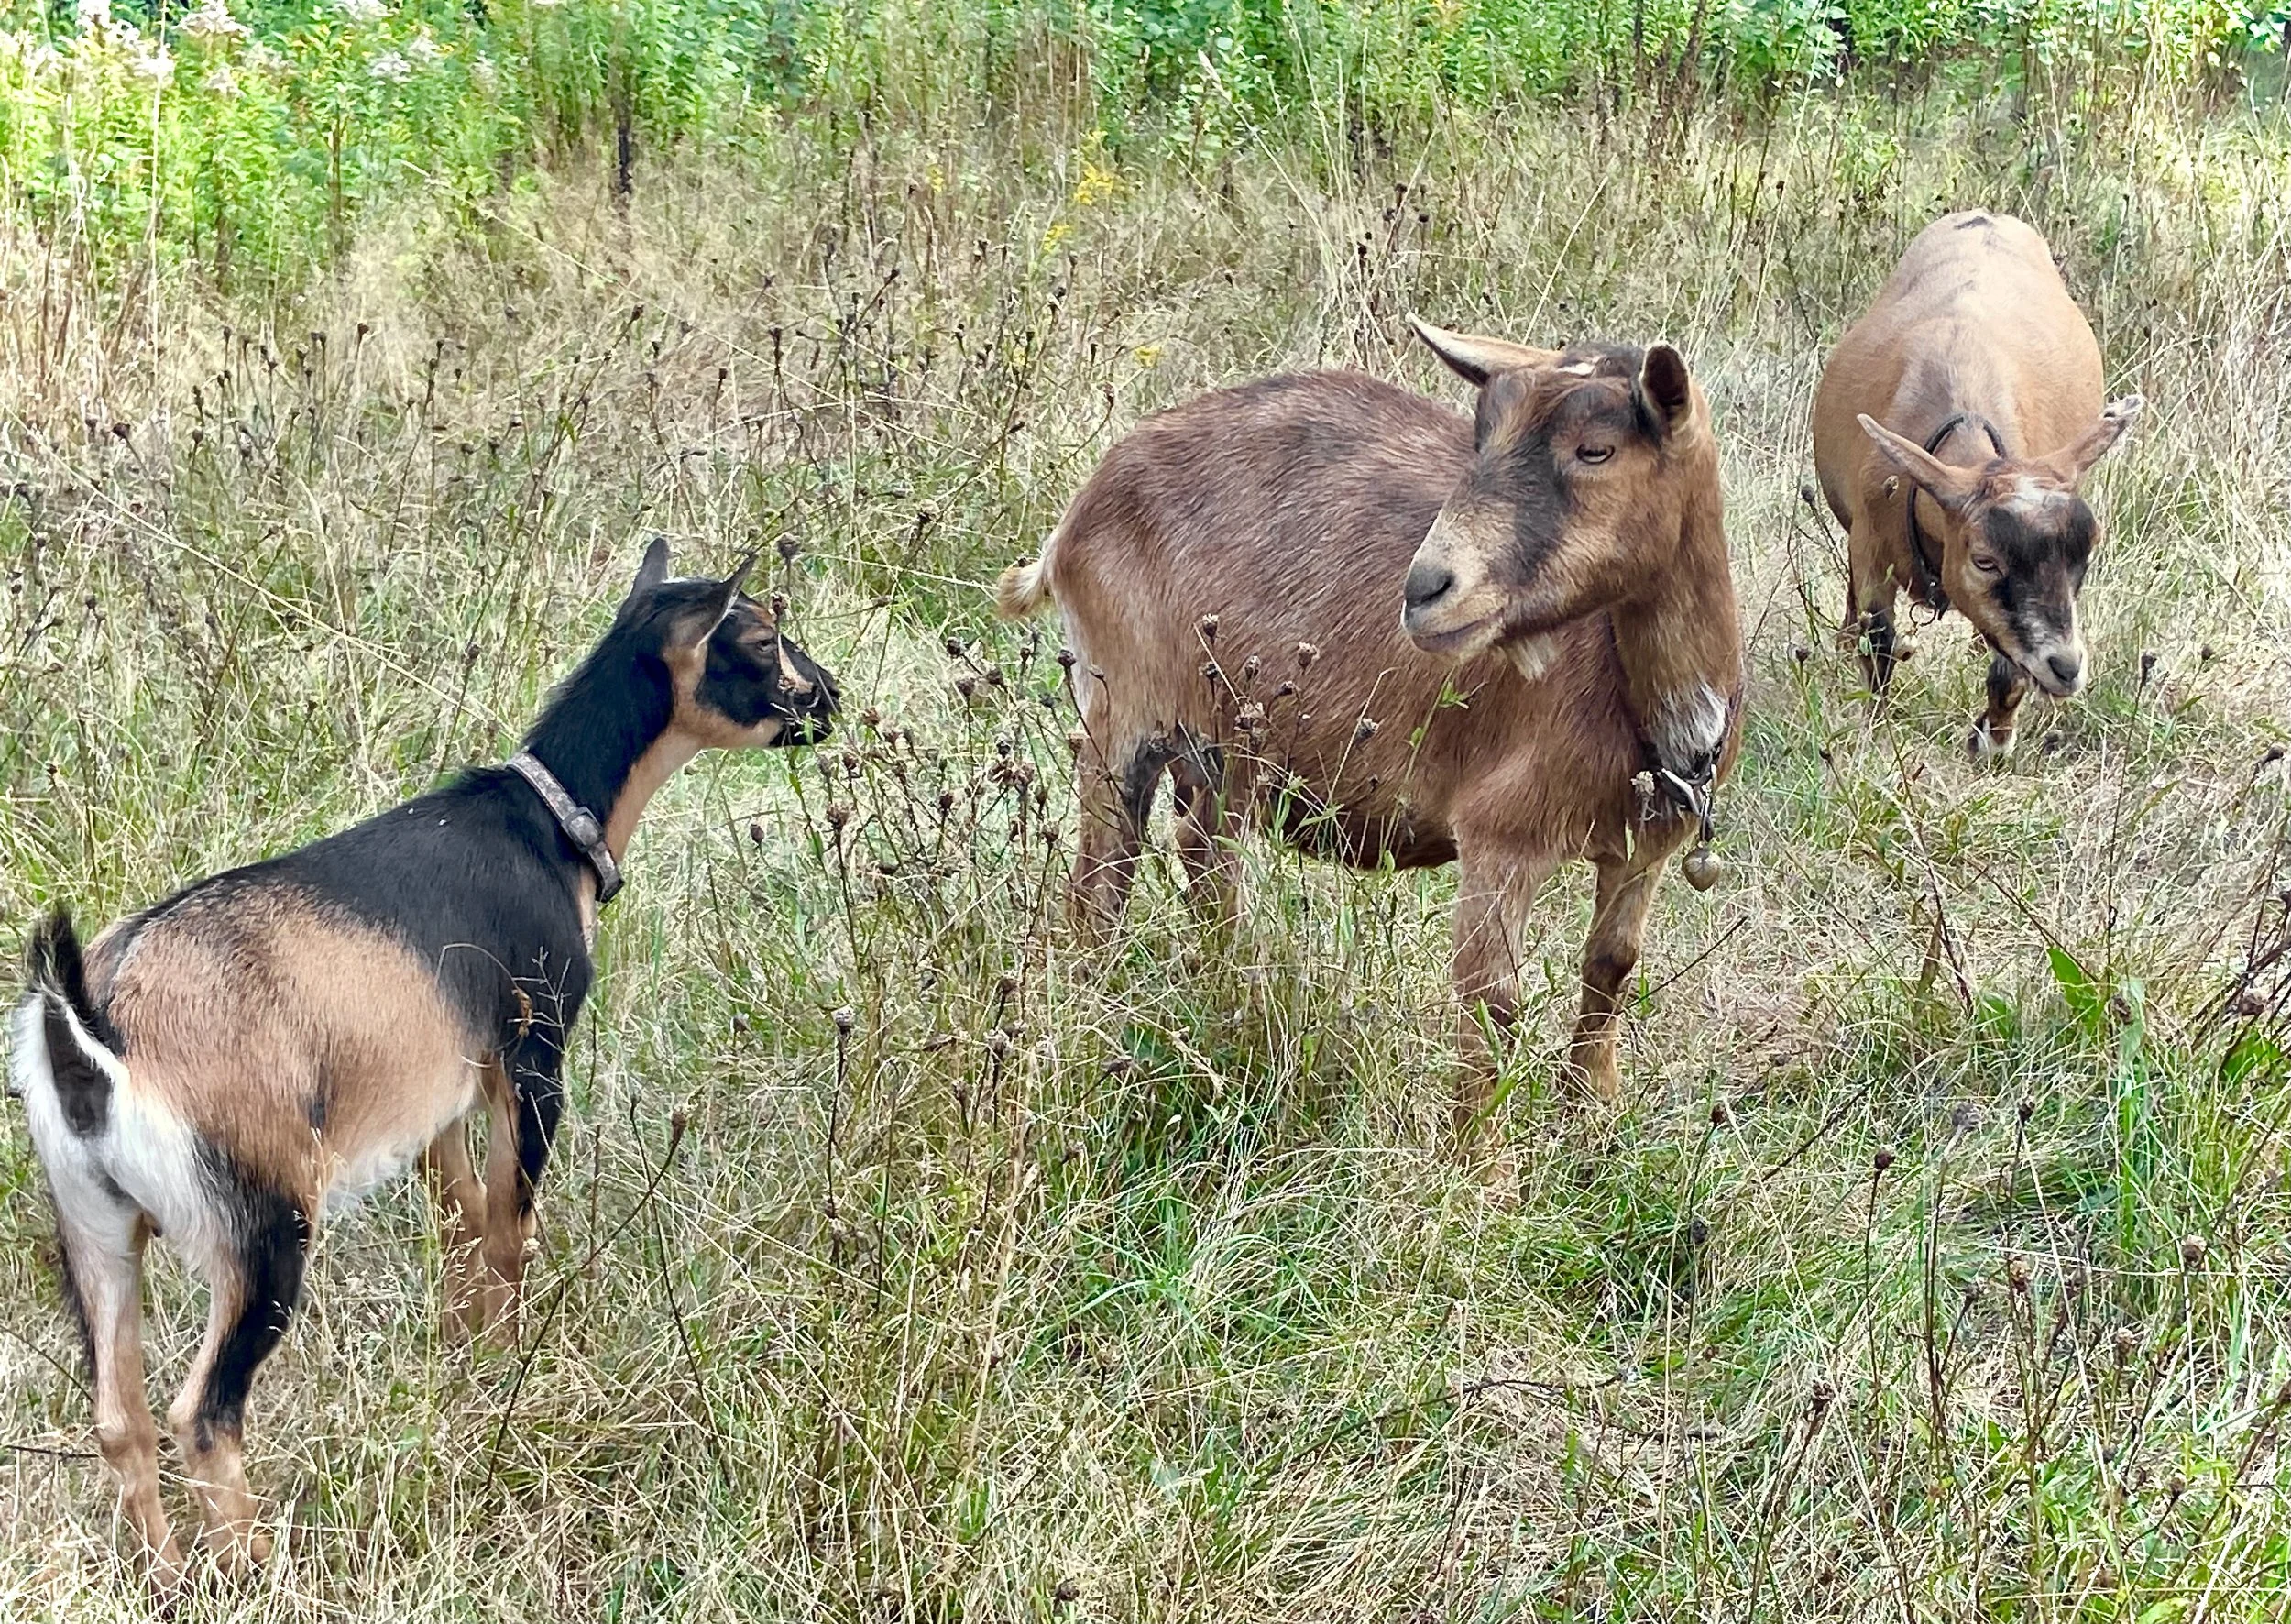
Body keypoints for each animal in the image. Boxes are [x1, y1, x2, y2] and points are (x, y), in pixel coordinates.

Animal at [10, 540, 837, 1586]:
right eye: (762, 638)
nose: (830, 696)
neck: (546, 826)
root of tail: (93, 1020)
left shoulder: (438, 1103)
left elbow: (460, 1229)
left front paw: (461, 1369)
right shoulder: (530, 1058)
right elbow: (509, 1229)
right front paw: (510, 1377)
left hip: (96, 1230)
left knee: (120, 1421)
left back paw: (165, 1577)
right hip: (262, 1228)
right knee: (203, 1412)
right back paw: (259, 1569)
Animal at [997, 319, 1743, 1139]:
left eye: (1597, 450)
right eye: (1481, 435)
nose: (1426, 589)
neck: (1640, 702)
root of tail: (1082, 509)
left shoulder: (1647, 845)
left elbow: (1611, 967)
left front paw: (1593, 1122)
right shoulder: (1504, 835)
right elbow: (1493, 1003)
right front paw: (1478, 1163)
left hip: (1223, 745)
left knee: (1206, 861)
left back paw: (1230, 1001)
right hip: (1120, 707)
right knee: (1101, 885)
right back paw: (1093, 1021)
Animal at [1813, 209, 2143, 758]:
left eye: (2087, 551)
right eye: (1984, 559)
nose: (2067, 669)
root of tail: (1987, 215)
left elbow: (2008, 669)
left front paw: (1992, 742)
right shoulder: (1870, 542)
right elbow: (1878, 639)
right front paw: (1875, 729)